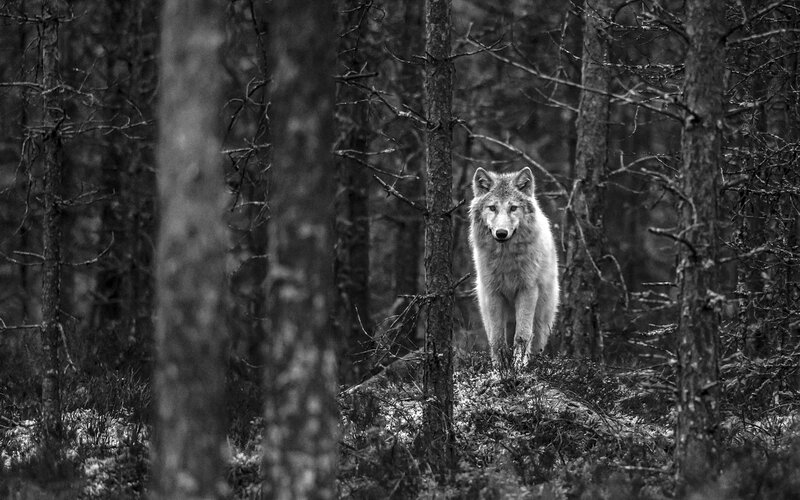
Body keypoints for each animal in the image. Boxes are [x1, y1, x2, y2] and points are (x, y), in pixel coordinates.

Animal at [469, 167, 559, 370]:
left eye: (513, 208)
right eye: (492, 207)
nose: (501, 233)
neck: (506, 259)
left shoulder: (527, 290)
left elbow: (522, 336)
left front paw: (518, 368)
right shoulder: (493, 293)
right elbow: (497, 339)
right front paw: (499, 369)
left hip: (542, 320)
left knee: (535, 341)